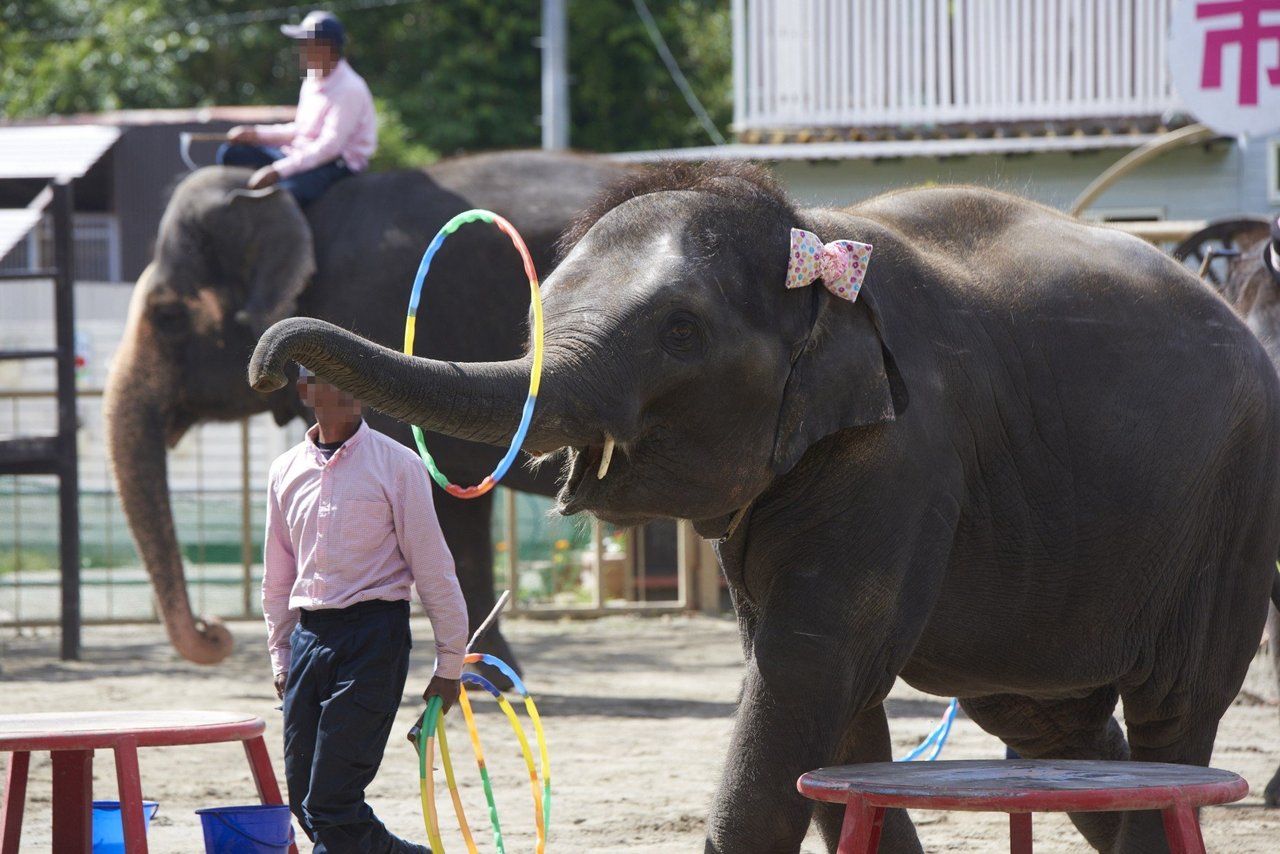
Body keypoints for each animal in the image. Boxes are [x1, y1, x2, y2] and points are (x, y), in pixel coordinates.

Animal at [249, 161, 1280, 854]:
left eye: (680, 332)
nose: (270, 360)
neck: (814, 233)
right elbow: (833, 718)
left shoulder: (901, 453)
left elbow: (806, 674)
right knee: (1048, 723)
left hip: (1230, 511)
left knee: (1173, 714)